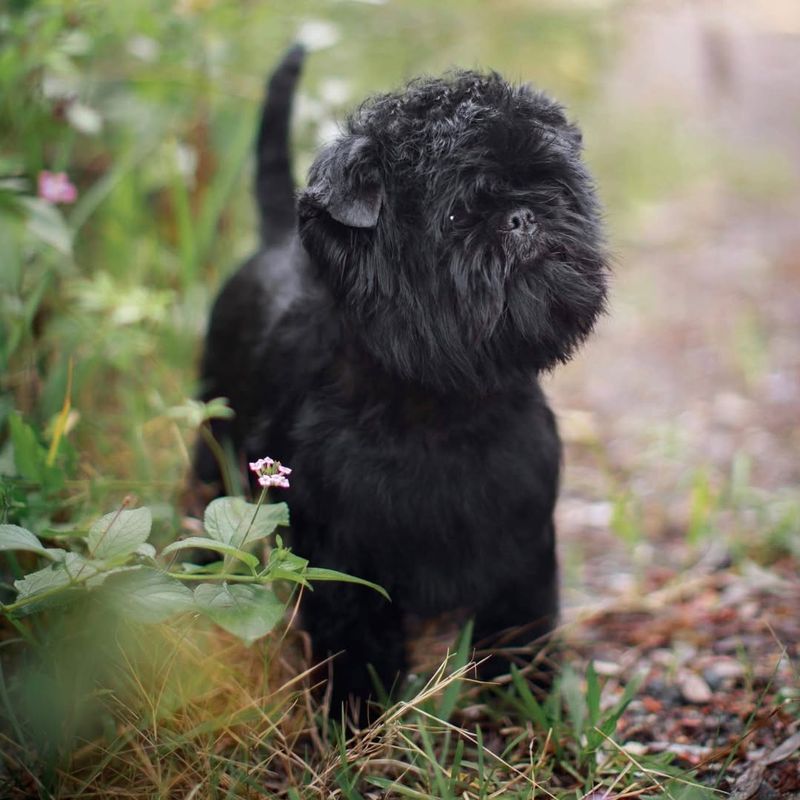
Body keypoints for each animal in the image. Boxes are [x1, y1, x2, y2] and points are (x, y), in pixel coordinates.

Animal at [194, 45, 608, 712]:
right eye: (457, 212)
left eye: (551, 185)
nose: (523, 214)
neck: (442, 406)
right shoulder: (344, 554)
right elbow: (355, 637)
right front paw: (355, 714)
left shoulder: (520, 539)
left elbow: (523, 628)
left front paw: (529, 704)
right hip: (214, 429)